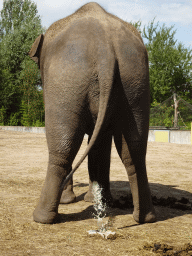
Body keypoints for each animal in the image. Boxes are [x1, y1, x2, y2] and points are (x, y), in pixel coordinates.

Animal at [29, 3, 156, 225]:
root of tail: (105, 48)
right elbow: (100, 145)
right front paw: (95, 199)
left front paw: (72, 201)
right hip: (135, 81)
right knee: (135, 149)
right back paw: (144, 217)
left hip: (67, 80)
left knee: (63, 145)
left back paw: (41, 217)